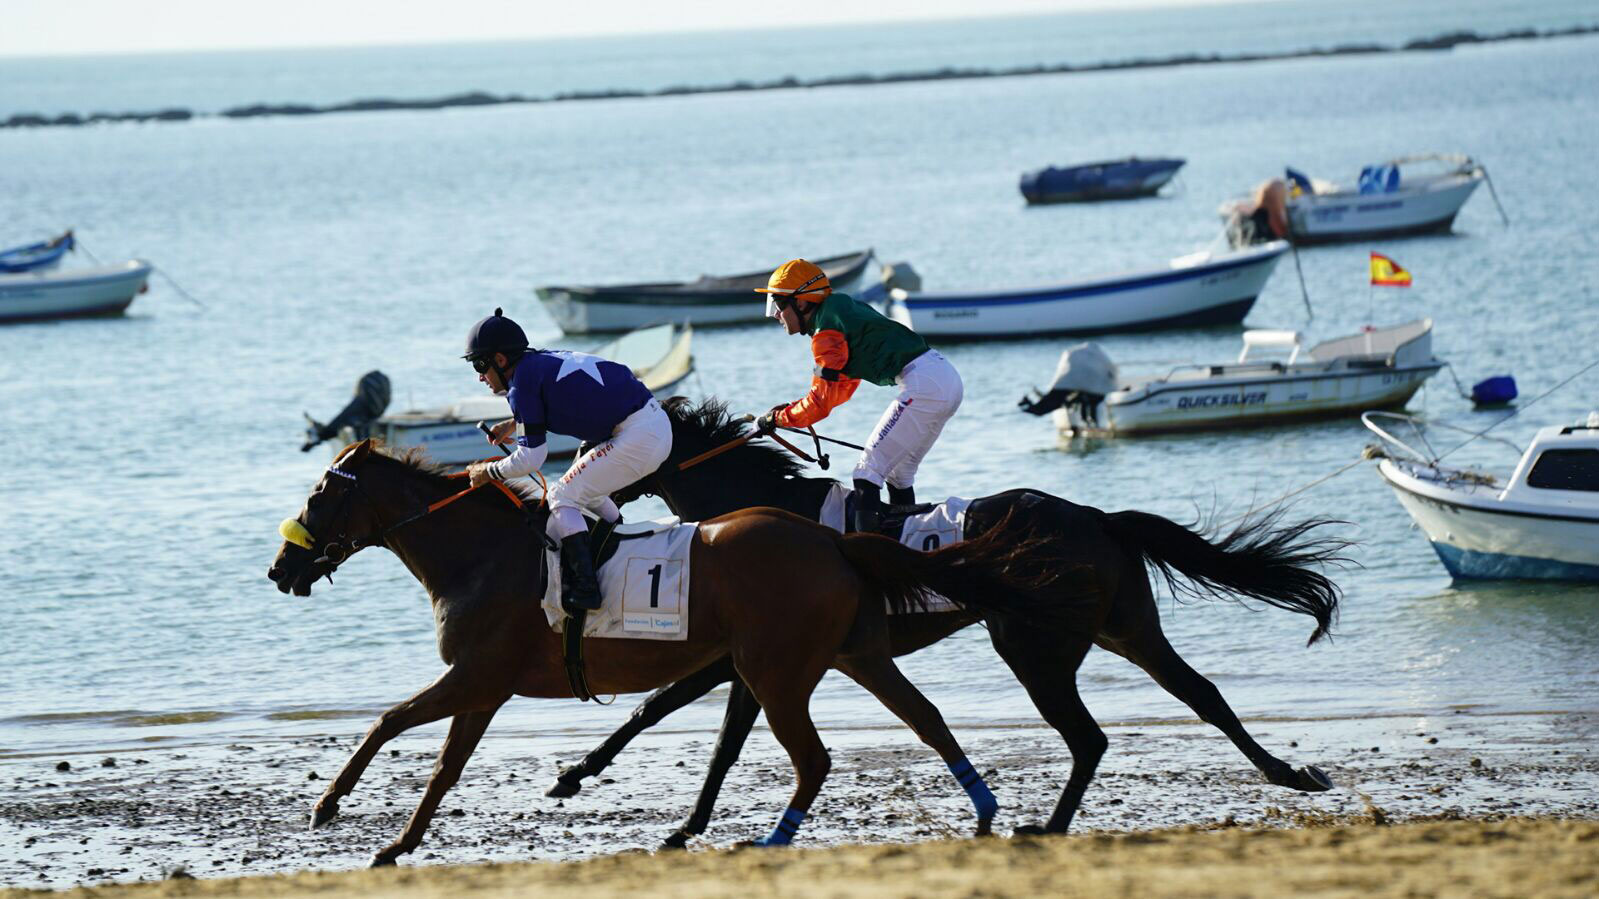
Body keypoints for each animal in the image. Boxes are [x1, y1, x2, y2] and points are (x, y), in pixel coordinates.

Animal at [268, 438, 1080, 863]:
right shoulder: (485, 689)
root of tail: (831, 539)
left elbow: (388, 723)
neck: (481, 555)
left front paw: (327, 806)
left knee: (815, 758)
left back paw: (772, 838)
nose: (280, 569)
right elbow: (442, 767)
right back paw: (984, 809)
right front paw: (397, 844)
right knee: (926, 717)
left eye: (318, 494)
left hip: (776, 670)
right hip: (853, 654)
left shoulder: (474, 676)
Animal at [543, 395, 1343, 844]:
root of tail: (1097, 516)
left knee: (1091, 734)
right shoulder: (756, 653)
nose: (562, 484)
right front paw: (663, 812)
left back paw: (1048, 824)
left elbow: (663, 708)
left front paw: (579, 773)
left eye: (595, 441)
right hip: (1124, 627)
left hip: (1033, 646)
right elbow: (709, 731)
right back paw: (1291, 773)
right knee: (1198, 693)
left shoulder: (745, 650)